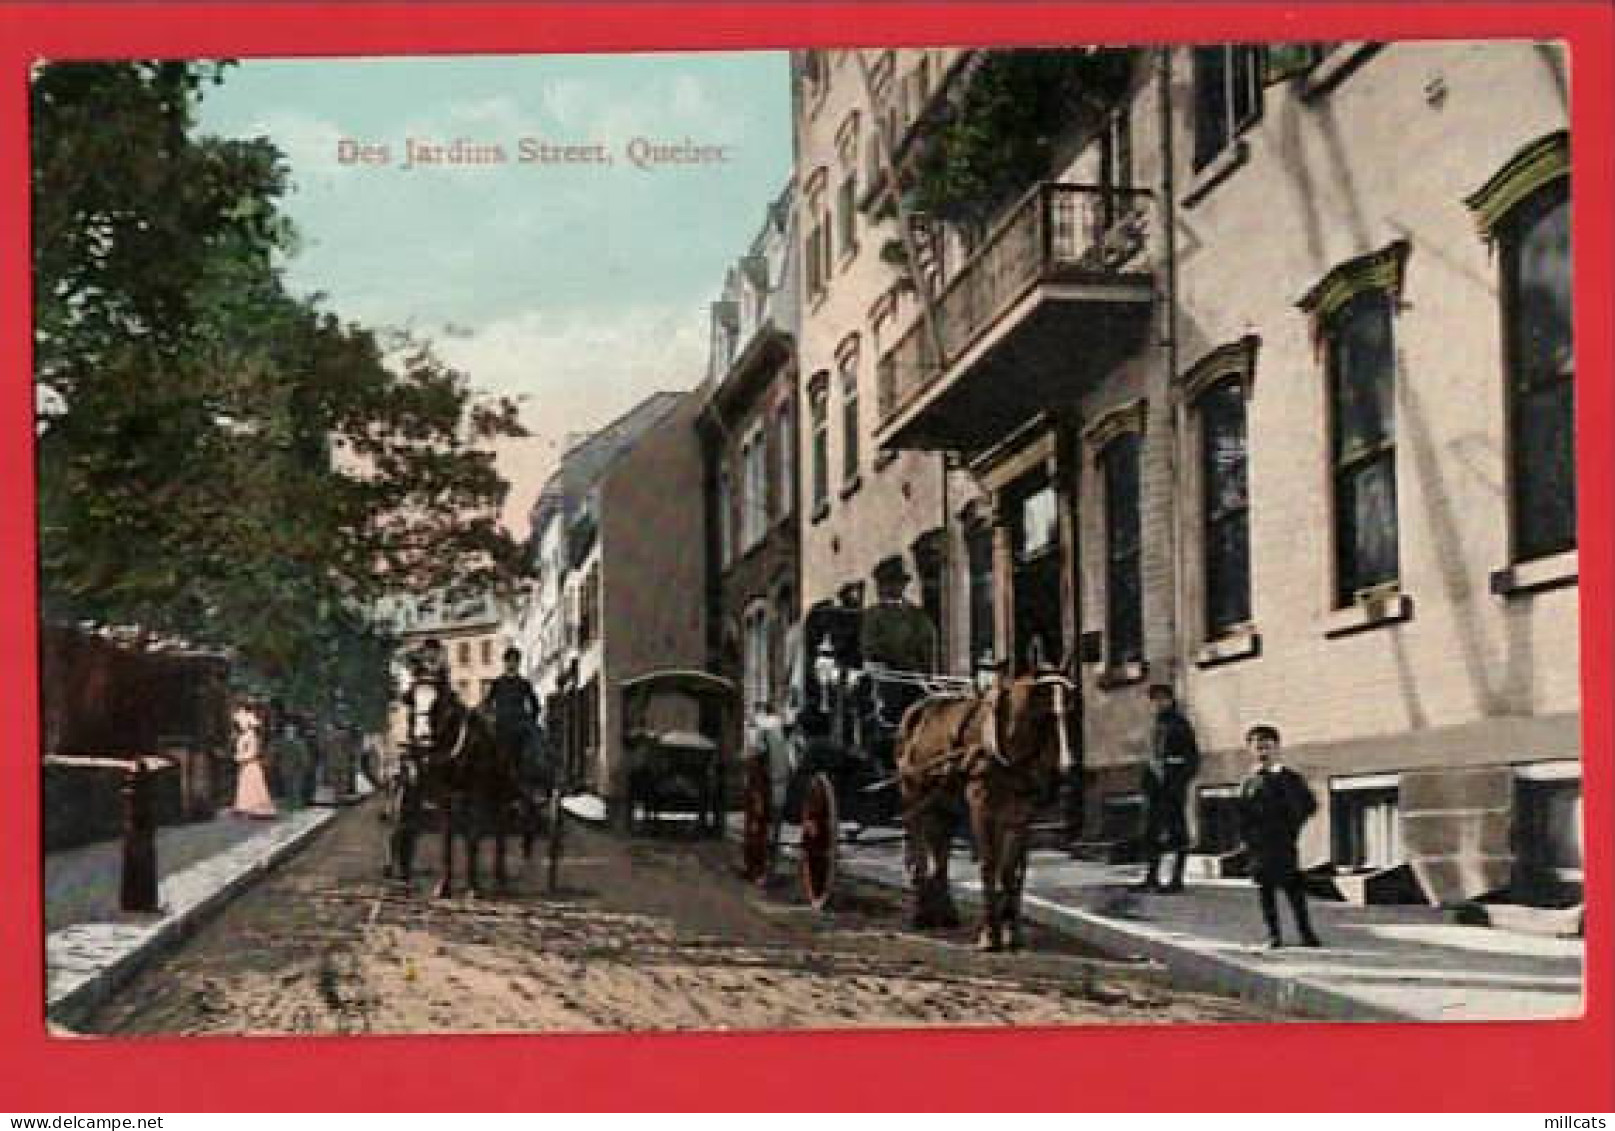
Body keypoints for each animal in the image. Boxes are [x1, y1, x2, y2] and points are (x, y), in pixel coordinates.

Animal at [384, 681, 523, 898]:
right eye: (413, 701)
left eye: (438, 703)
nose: (423, 737)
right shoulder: (445, 794)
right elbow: (447, 836)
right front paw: (444, 886)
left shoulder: (477, 792)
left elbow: (474, 835)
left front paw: (473, 887)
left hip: (498, 792)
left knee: (499, 830)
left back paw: (500, 880)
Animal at [897, 675, 1072, 950]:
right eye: (1043, 717)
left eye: (1068, 713)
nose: (1064, 769)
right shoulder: (982, 807)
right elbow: (989, 864)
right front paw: (989, 934)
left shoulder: (1019, 814)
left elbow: (1010, 871)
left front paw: (1012, 933)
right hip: (913, 796)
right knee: (920, 855)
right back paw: (922, 914)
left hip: (944, 807)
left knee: (940, 856)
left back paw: (945, 914)